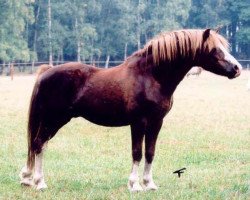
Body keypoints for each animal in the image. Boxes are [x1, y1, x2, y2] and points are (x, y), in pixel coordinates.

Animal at [20, 28, 242, 191]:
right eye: (214, 50)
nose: (237, 69)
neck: (151, 76)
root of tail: (47, 71)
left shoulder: (156, 122)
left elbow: (150, 152)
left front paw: (149, 184)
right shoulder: (138, 122)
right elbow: (137, 152)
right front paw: (134, 185)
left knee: (40, 145)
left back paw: (29, 179)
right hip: (54, 119)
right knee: (38, 144)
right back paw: (39, 182)